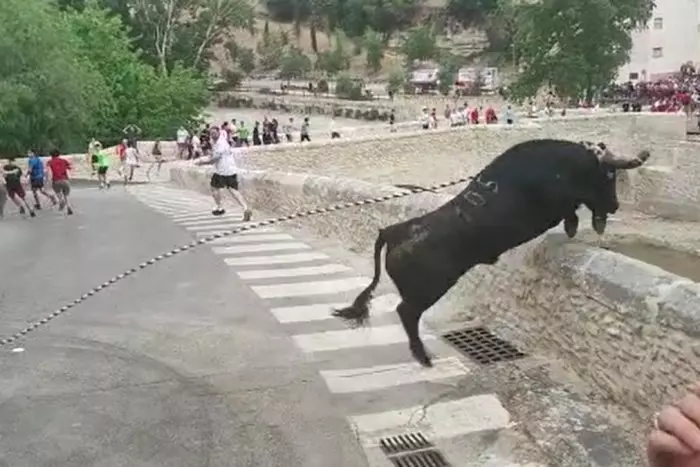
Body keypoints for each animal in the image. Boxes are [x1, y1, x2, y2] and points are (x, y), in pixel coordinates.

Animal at [334, 139, 652, 370]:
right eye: (609, 175)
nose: (615, 207)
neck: (565, 165)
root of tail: (393, 230)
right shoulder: (561, 200)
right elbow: (572, 208)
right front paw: (576, 227)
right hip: (429, 288)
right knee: (406, 312)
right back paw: (425, 358)